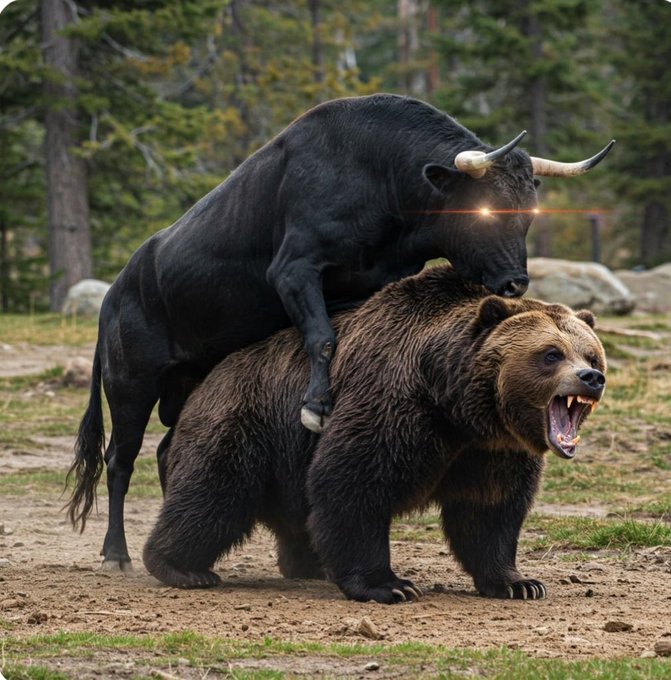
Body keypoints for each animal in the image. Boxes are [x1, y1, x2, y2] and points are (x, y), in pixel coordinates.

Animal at [65, 93, 614, 569]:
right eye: (482, 210)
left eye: (528, 213)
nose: (516, 282)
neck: (380, 179)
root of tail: (115, 293)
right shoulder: (294, 269)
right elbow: (321, 337)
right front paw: (315, 406)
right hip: (131, 385)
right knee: (119, 460)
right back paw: (116, 553)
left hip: (186, 385)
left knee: (164, 451)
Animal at [142, 264, 607, 603]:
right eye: (551, 354)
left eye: (590, 352)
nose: (591, 378)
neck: (459, 407)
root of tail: (202, 384)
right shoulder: (394, 405)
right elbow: (353, 483)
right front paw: (390, 585)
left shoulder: (492, 451)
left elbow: (490, 511)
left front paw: (519, 583)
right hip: (247, 423)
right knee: (214, 495)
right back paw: (181, 567)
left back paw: (310, 565)